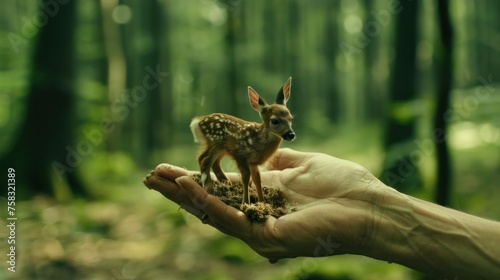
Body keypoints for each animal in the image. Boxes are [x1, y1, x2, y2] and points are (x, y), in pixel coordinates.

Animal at [189, 77, 294, 205]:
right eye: (274, 121)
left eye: (291, 118)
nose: (291, 134)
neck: (258, 140)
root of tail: (198, 121)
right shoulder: (240, 154)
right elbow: (246, 177)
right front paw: (246, 203)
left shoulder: (253, 162)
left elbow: (257, 179)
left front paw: (262, 202)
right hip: (215, 141)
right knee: (204, 160)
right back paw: (211, 191)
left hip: (222, 147)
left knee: (210, 161)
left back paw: (226, 183)